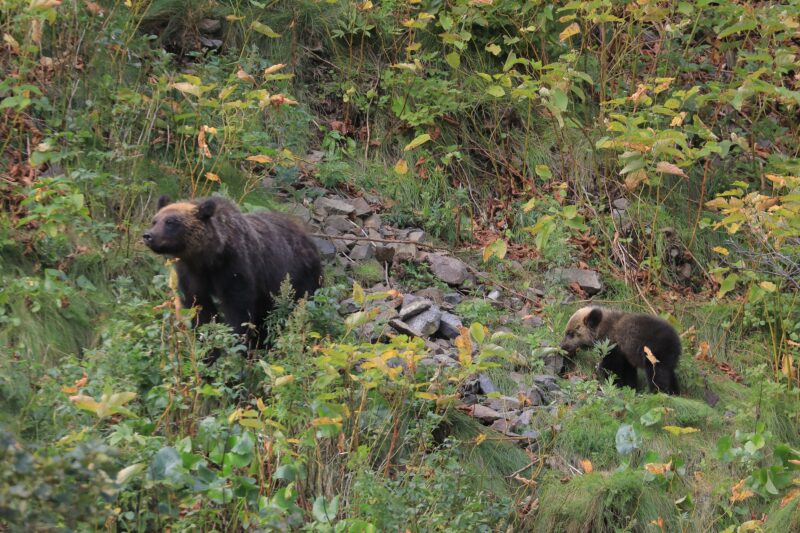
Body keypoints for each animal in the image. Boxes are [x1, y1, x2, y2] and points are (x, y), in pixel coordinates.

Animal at [144, 193, 322, 356]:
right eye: (155, 220)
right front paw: (208, 348)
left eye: (171, 222)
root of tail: (306, 236)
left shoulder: (234, 268)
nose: (148, 235)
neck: (207, 258)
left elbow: (238, 309)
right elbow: (198, 308)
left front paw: (235, 344)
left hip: (296, 279)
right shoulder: (190, 274)